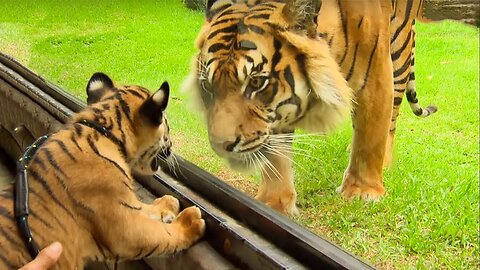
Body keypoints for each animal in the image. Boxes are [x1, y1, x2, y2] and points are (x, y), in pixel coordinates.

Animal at [0, 73, 204, 268]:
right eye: (167, 125)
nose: (172, 146)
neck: (105, 131)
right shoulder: (127, 228)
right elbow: (164, 234)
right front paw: (190, 222)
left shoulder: (126, 203)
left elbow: (146, 207)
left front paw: (168, 202)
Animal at [184, 0, 438, 215]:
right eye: (208, 86)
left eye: (256, 82)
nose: (221, 146)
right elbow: (276, 154)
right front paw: (274, 202)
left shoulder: (376, 75)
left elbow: (371, 135)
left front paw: (363, 192)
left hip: (400, 54)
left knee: (391, 119)